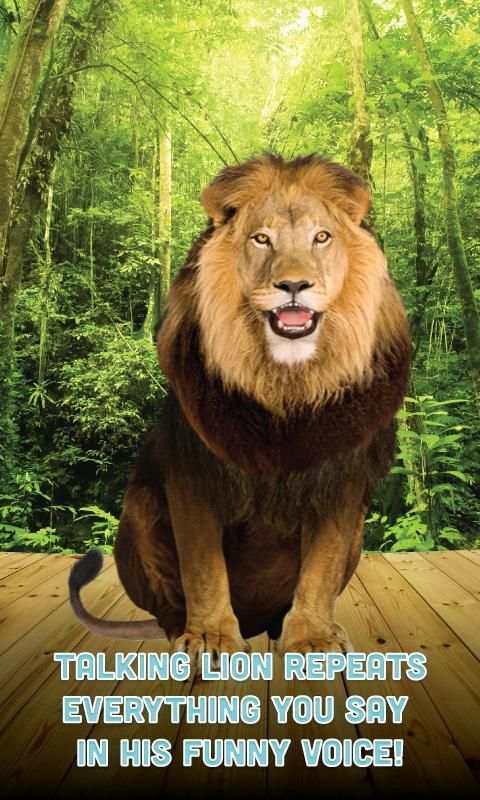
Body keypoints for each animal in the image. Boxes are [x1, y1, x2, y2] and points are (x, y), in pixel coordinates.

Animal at [69, 154, 410, 659]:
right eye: (261, 238)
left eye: (321, 237)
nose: (294, 284)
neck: (286, 384)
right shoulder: (192, 468)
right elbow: (203, 566)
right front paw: (211, 638)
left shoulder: (342, 479)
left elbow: (321, 568)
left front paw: (313, 637)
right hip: (138, 512)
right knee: (168, 605)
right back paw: (184, 630)